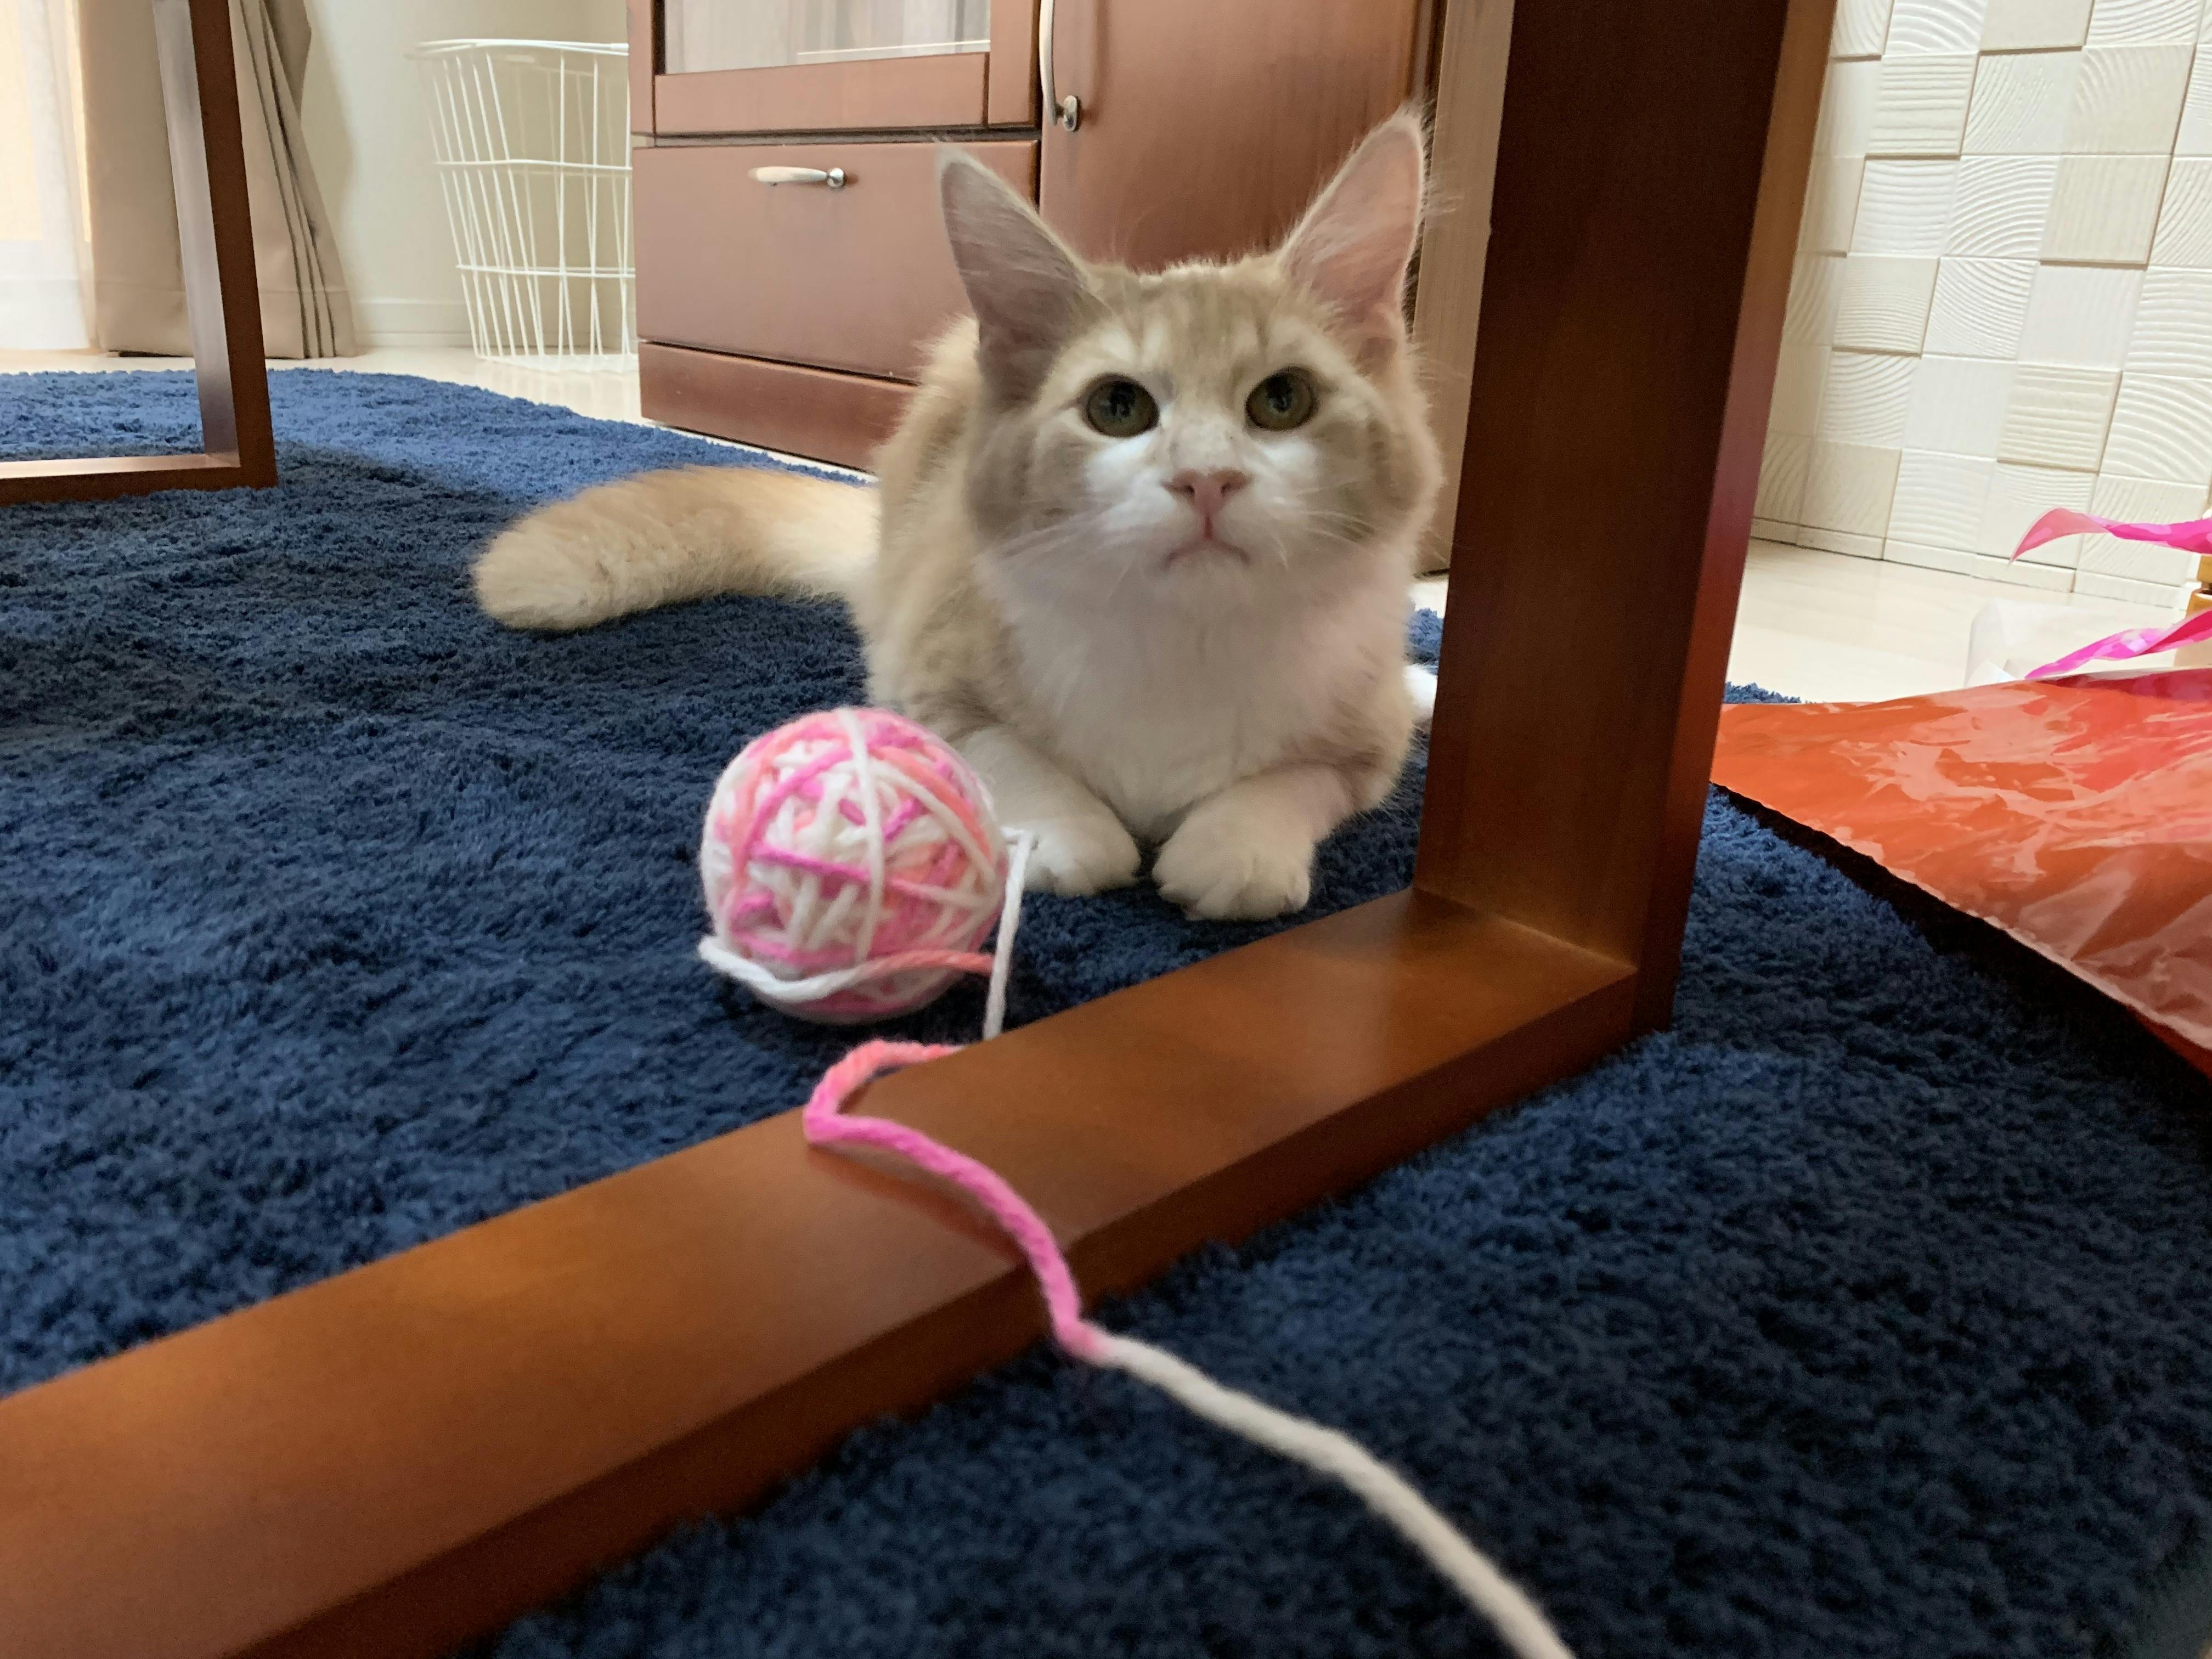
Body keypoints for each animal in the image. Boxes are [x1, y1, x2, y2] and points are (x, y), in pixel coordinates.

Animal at [473, 111, 1442, 922]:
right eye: (1117, 408)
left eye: (1282, 401)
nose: (1207, 480)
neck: (1186, 641)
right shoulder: (924, 672)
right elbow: (1009, 754)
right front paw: (1072, 834)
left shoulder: (1364, 737)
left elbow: (1302, 778)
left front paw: (1234, 845)